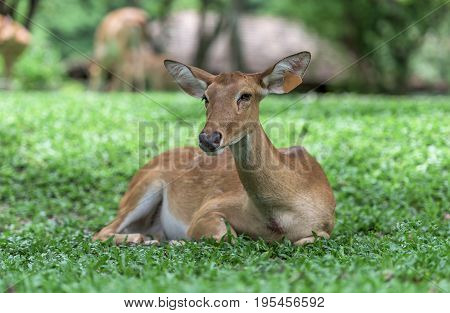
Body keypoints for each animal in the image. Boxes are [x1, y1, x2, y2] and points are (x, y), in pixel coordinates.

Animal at [94, 51, 334, 245]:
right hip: (145, 187)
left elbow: (312, 239)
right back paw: (147, 239)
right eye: (205, 97)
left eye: (245, 95)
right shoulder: (209, 209)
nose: (208, 138)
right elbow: (226, 236)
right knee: (101, 232)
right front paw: (181, 241)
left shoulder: (326, 226)